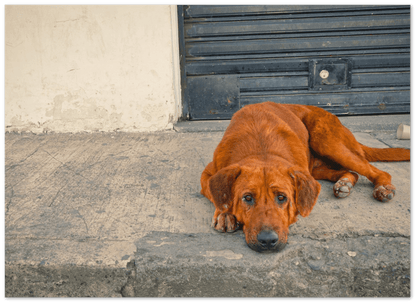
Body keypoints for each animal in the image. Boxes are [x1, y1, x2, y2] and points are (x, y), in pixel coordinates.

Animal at [200, 103, 412, 253]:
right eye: (247, 198)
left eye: (282, 198)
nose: (267, 241)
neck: (261, 149)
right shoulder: (208, 175)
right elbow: (215, 192)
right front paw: (225, 213)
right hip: (318, 168)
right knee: (351, 172)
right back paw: (344, 183)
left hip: (327, 141)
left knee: (377, 171)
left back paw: (382, 188)